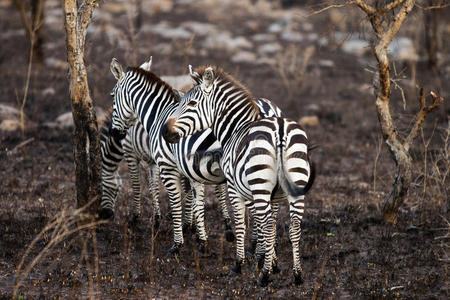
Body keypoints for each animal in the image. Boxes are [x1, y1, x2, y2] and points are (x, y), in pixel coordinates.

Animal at [163, 65, 314, 286]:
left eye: (191, 103)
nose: (165, 131)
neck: (234, 129)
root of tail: (279, 130)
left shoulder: (234, 188)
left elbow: (243, 224)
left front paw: (241, 264)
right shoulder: (274, 196)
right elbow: (268, 227)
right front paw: (272, 262)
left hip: (259, 184)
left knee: (268, 224)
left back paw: (264, 276)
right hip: (296, 185)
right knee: (294, 226)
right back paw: (298, 275)